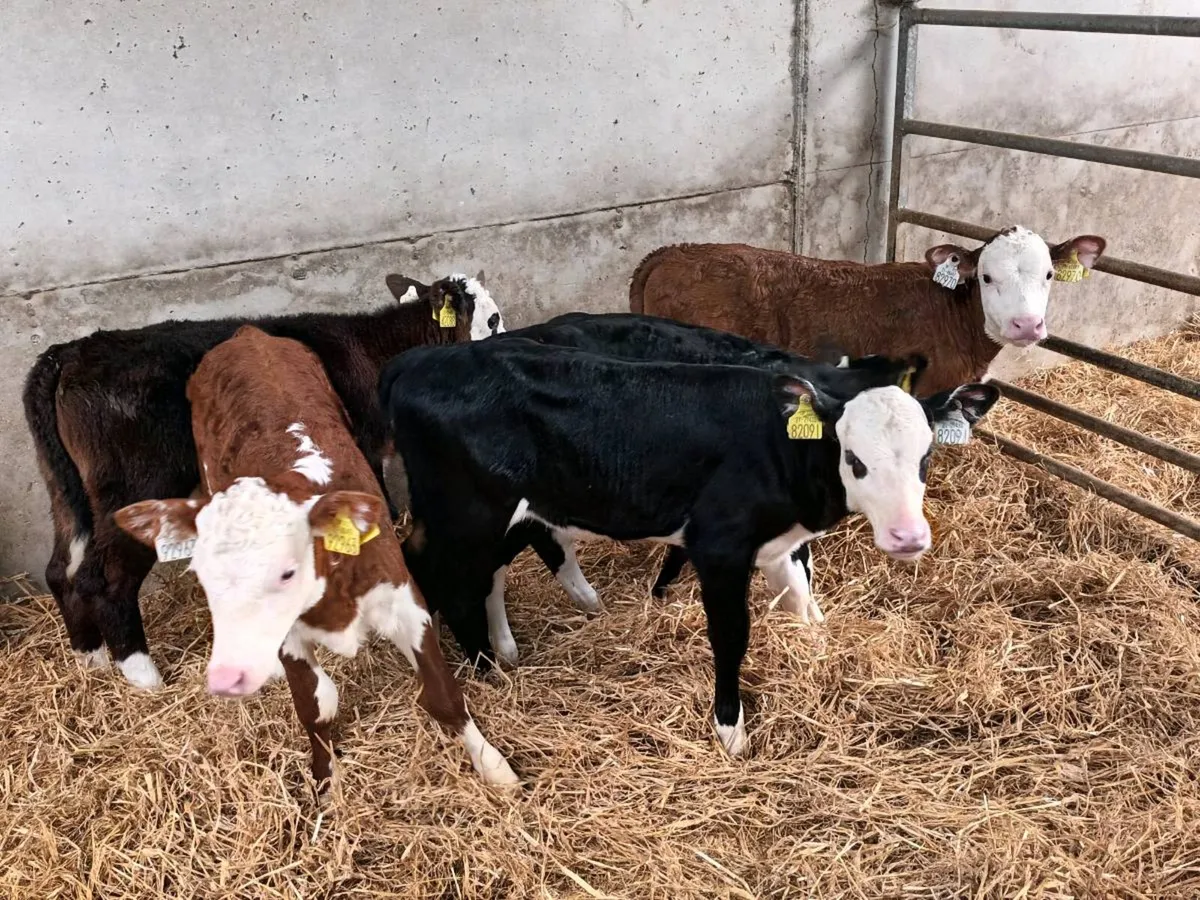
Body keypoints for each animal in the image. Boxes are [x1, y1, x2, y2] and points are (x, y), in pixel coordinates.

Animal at [22, 272, 503, 690]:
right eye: (492, 319)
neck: (373, 348)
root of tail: (67, 353)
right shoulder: (362, 448)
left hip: (67, 492)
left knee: (62, 569)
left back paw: (92, 659)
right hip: (136, 485)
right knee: (105, 577)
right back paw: (144, 677)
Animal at [112, 326, 518, 790]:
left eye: (287, 572)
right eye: (206, 578)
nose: (227, 676)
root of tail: (247, 335)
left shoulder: (403, 599)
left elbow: (443, 694)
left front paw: (495, 767)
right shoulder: (287, 637)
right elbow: (316, 704)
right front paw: (326, 781)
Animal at [379, 338, 999, 755]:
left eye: (926, 455)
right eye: (855, 458)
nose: (908, 537)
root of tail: (418, 359)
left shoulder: (778, 543)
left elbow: (801, 602)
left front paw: (820, 655)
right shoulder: (720, 546)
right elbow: (732, 637)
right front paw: (731, 730)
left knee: (476, 574)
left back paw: (499, 651)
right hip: (467, 514)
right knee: (440, 580)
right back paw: (479, 670)